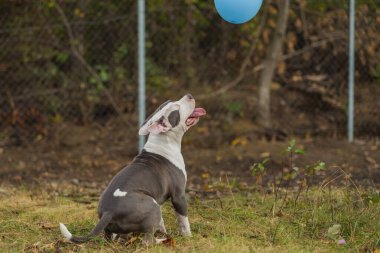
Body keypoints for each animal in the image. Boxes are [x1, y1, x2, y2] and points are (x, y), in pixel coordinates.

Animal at [59, 94, 206, 244]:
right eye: (176, 107)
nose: (189, 95)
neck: (164, 142)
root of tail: (108, 211)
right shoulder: (178, 195)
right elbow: (183, 220)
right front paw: (188, 237)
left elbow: (161, 222)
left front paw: (162, 231)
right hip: (151, 205)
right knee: (147, 242)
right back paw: (162, 240)